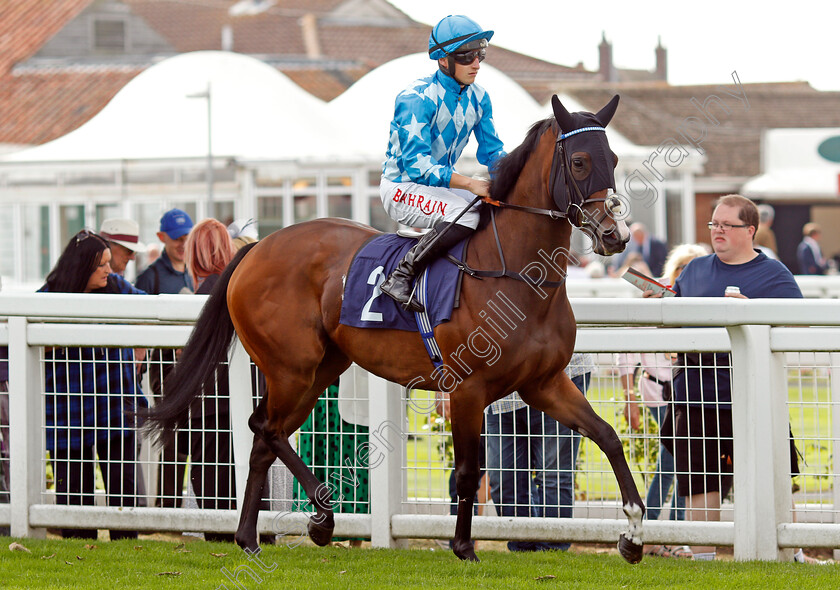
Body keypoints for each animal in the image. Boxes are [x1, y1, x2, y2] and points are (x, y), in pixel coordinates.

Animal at [146, 96, 644, 564]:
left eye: (615, 158)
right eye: (579, 162)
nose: (615, 236)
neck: (517, 275)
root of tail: (254, 248)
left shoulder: (545, 383)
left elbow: (607, 436)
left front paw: (634, 535)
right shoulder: (468, 389)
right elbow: (469, 472)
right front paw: (463, 546)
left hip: (321, 368)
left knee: (265, 435)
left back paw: (254, 536)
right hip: (291, 368)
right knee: (265, 428)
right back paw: (318, 518)